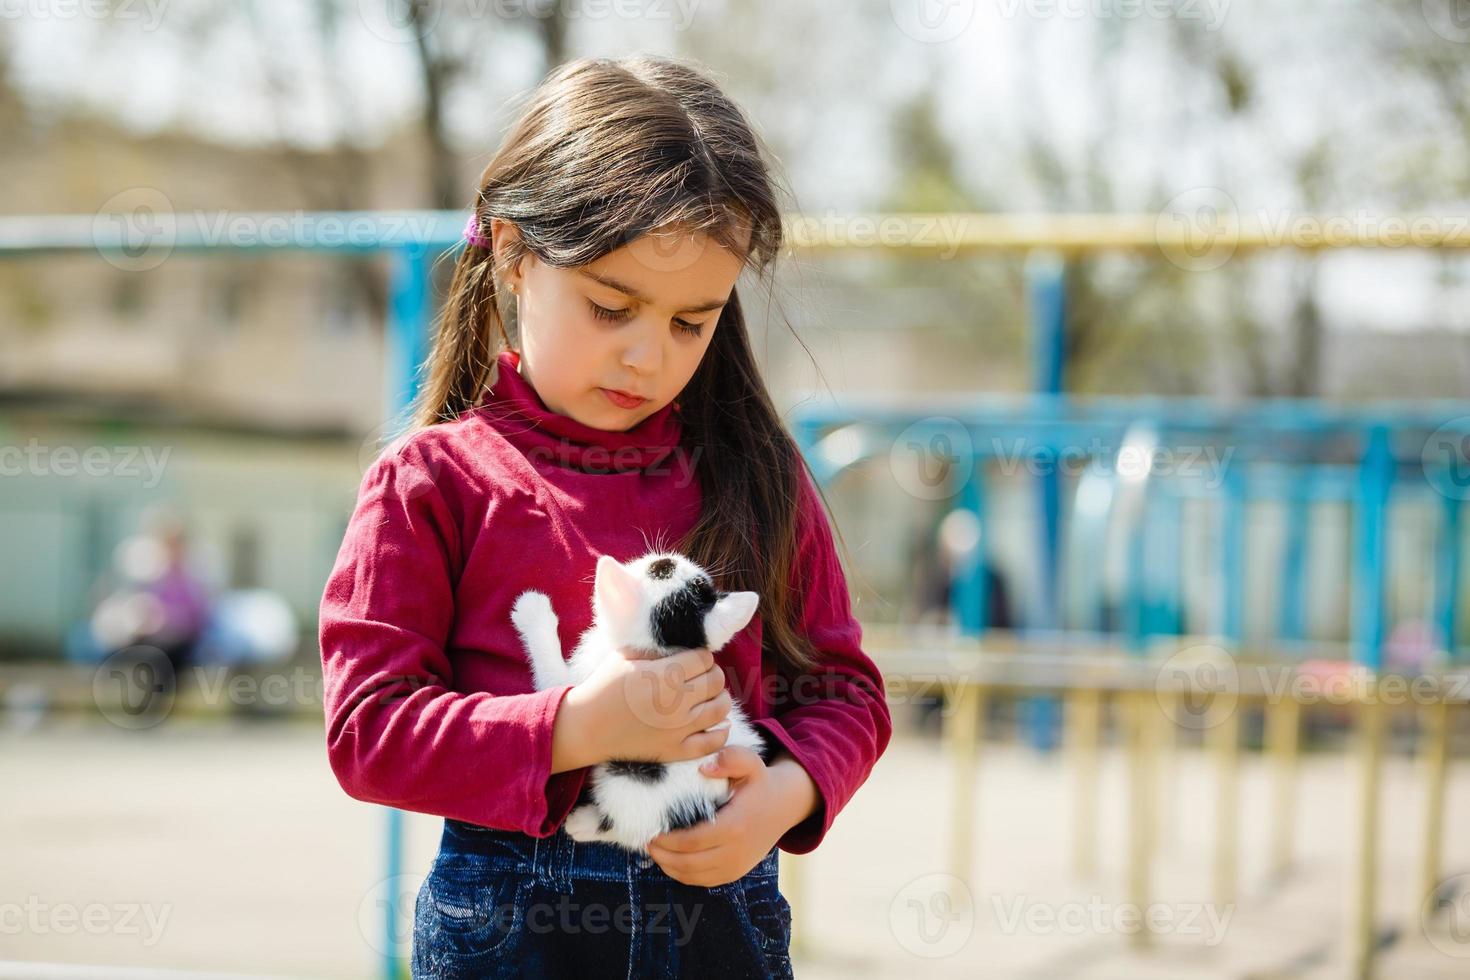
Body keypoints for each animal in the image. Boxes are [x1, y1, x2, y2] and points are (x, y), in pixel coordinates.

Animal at [508, 552, 764, 852]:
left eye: (659, 572)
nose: (665, 560)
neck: (660, 652)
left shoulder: (581, 682)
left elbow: (551, 677)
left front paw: (532, 611)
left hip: (627, 782)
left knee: (630, 830)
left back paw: (583, 823)